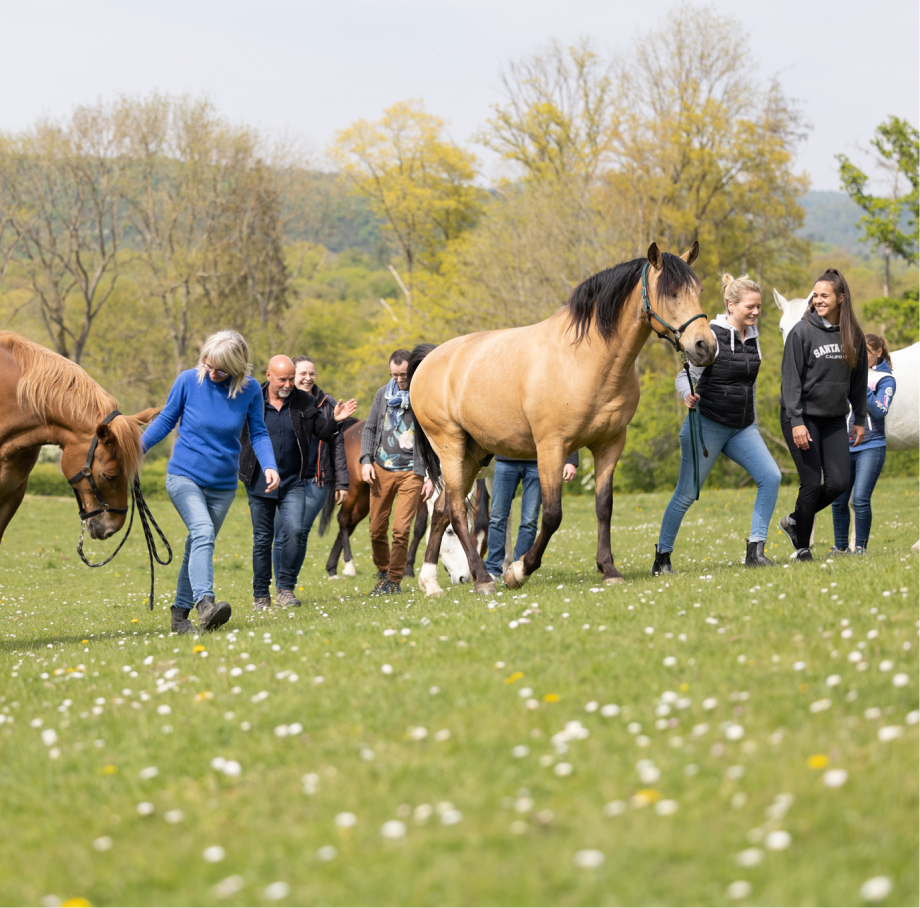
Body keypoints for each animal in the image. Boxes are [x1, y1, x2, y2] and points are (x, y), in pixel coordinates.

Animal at [410, 243, 720, 596]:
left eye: (699, 291)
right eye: (671, 292)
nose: (705, 346)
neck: (585, 358)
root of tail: (430, 360)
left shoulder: (609, 444)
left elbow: (604, 506)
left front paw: (608, 569)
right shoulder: (551, 448)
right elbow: (552, 515)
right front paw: (518, 571)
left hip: (473, 453)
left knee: (441, 510)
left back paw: (431, 582)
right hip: (450, 447)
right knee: (457, 510)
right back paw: (483, 579)